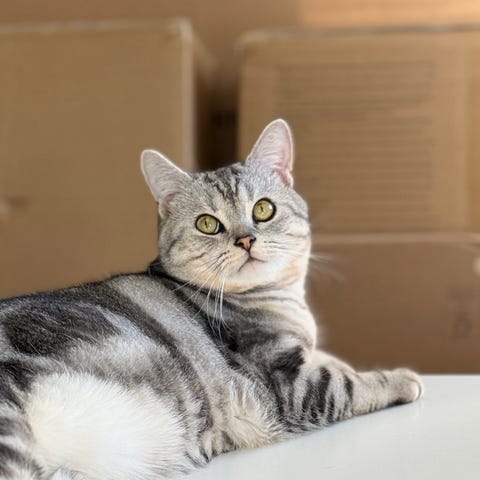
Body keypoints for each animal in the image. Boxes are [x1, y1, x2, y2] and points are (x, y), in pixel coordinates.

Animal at [0, 119, 422, 480]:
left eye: (263, 209)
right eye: (208, 224)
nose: (246, 239)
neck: (279, 302)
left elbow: (334, 360)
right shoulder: (291, 386)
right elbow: (349, 382)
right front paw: (402, 378)